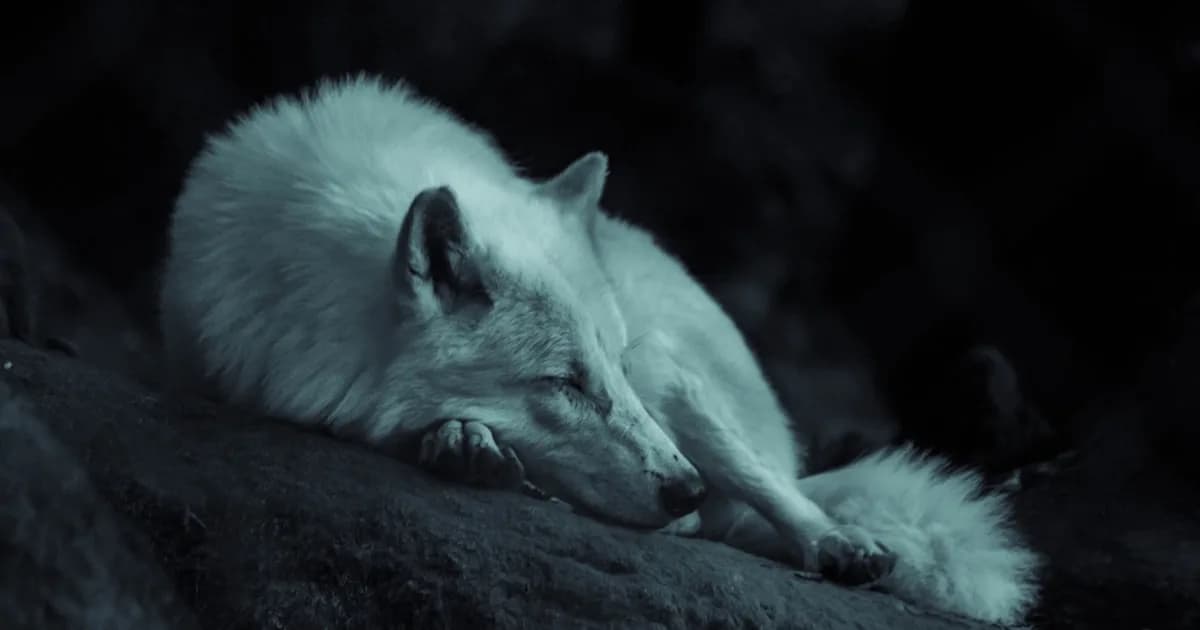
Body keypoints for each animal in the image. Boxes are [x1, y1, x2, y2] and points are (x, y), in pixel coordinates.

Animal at [158, 75, 1039, 625]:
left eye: (606, 370)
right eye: (565, 383)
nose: (682, 488)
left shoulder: (646, 372)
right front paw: (464, 441)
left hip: (679, 377)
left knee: (772, 489)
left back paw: (837, 543)